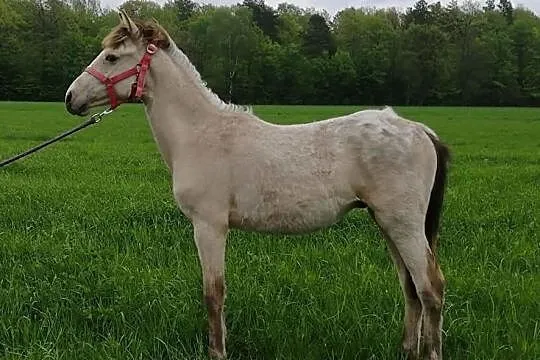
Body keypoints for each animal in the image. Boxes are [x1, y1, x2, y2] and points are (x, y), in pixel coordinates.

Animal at [64, 11, 452, 360]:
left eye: (112, 57)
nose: (70, 98)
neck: (200, 133)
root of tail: (421, 130)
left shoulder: (209, 226)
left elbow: (213, 294)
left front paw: (217, 352)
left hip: (402, 224)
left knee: (430, 288)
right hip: (387, 223)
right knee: (411, 288)